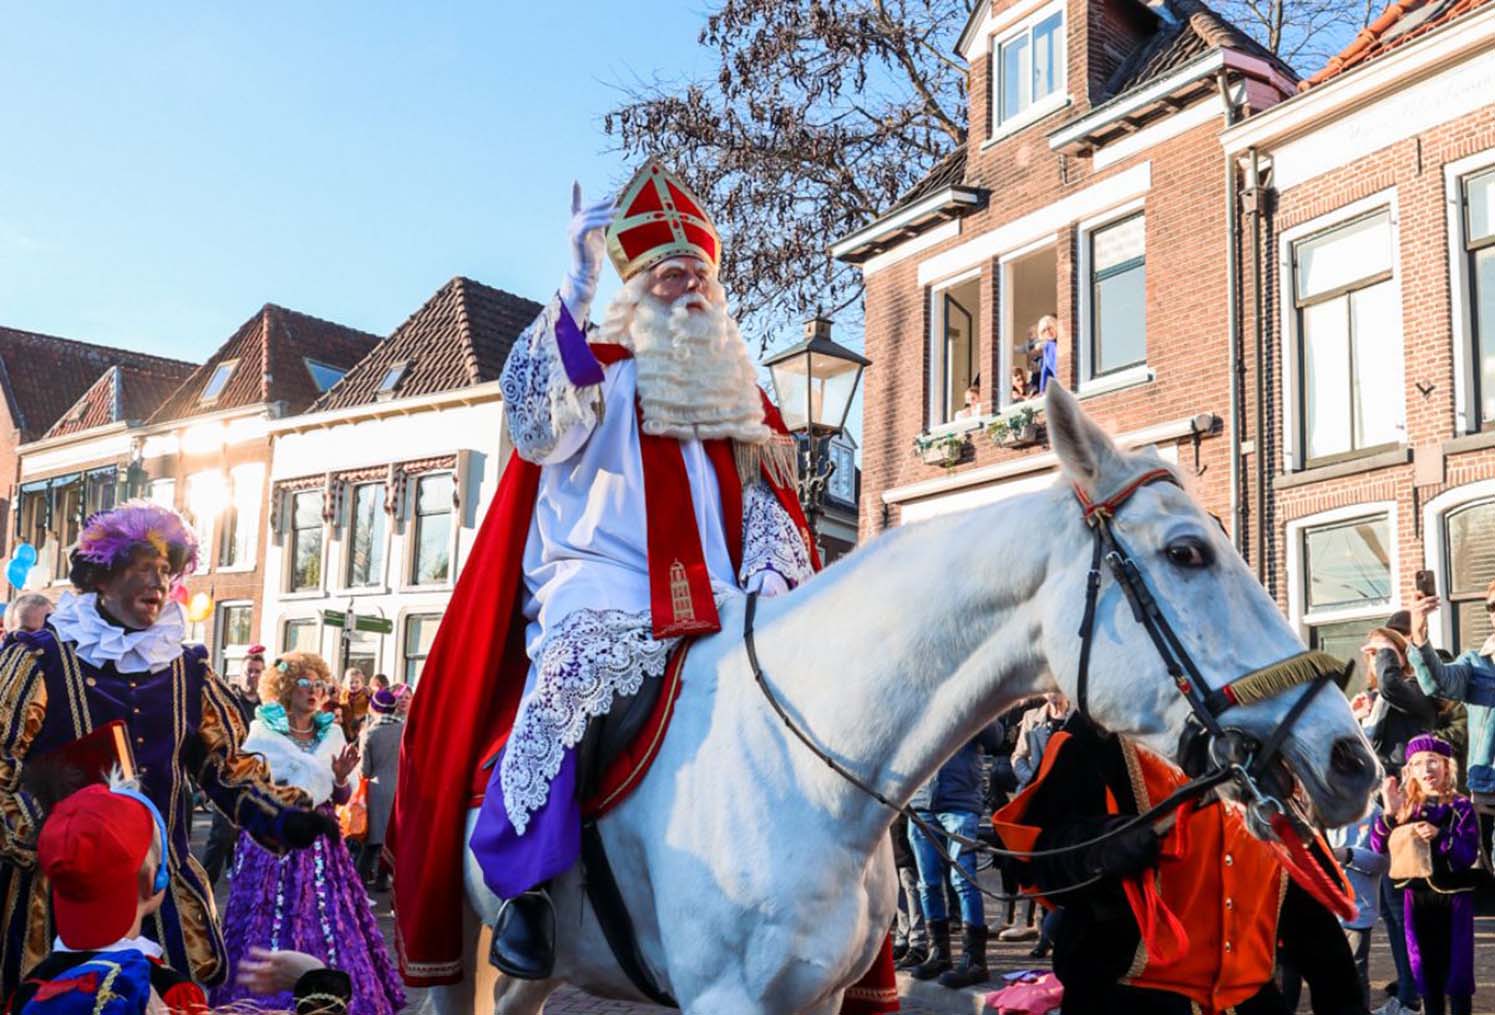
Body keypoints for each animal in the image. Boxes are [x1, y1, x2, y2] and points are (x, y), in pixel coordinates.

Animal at [430, 385, 1375, 1015]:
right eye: (1185, 553)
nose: (1348, 756)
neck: (806, 777)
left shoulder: (816, 997)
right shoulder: (724, 998)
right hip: (459, 961)